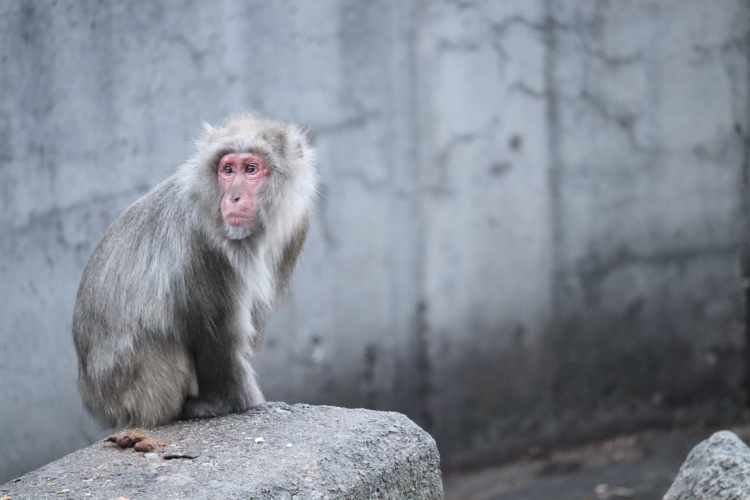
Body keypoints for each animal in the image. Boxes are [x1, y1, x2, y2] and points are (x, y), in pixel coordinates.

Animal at [71, 114, 318, 430]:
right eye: (228, 169)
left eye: (250, 169)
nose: (233, 197)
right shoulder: (202, 241)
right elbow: (216, 331)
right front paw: (232, 402)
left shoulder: (298, 223)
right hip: (134, 387)